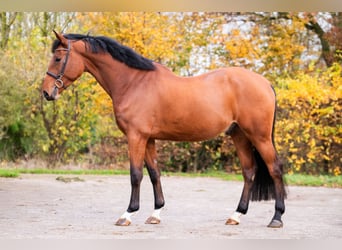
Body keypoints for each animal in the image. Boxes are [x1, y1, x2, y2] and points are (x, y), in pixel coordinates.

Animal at [41, 30, 288, 228]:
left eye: (58, 58)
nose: (46, 92)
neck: (134, 82)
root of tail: (265, 83)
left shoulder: (136, 137)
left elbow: (135, 174)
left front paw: (127, 214)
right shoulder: (148, 138)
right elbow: (154, 174)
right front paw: (155, 213)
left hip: (259, 136)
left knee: (275, 169)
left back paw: (276, 218)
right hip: (239, 135)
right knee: (249, 172)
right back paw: (236, 215)